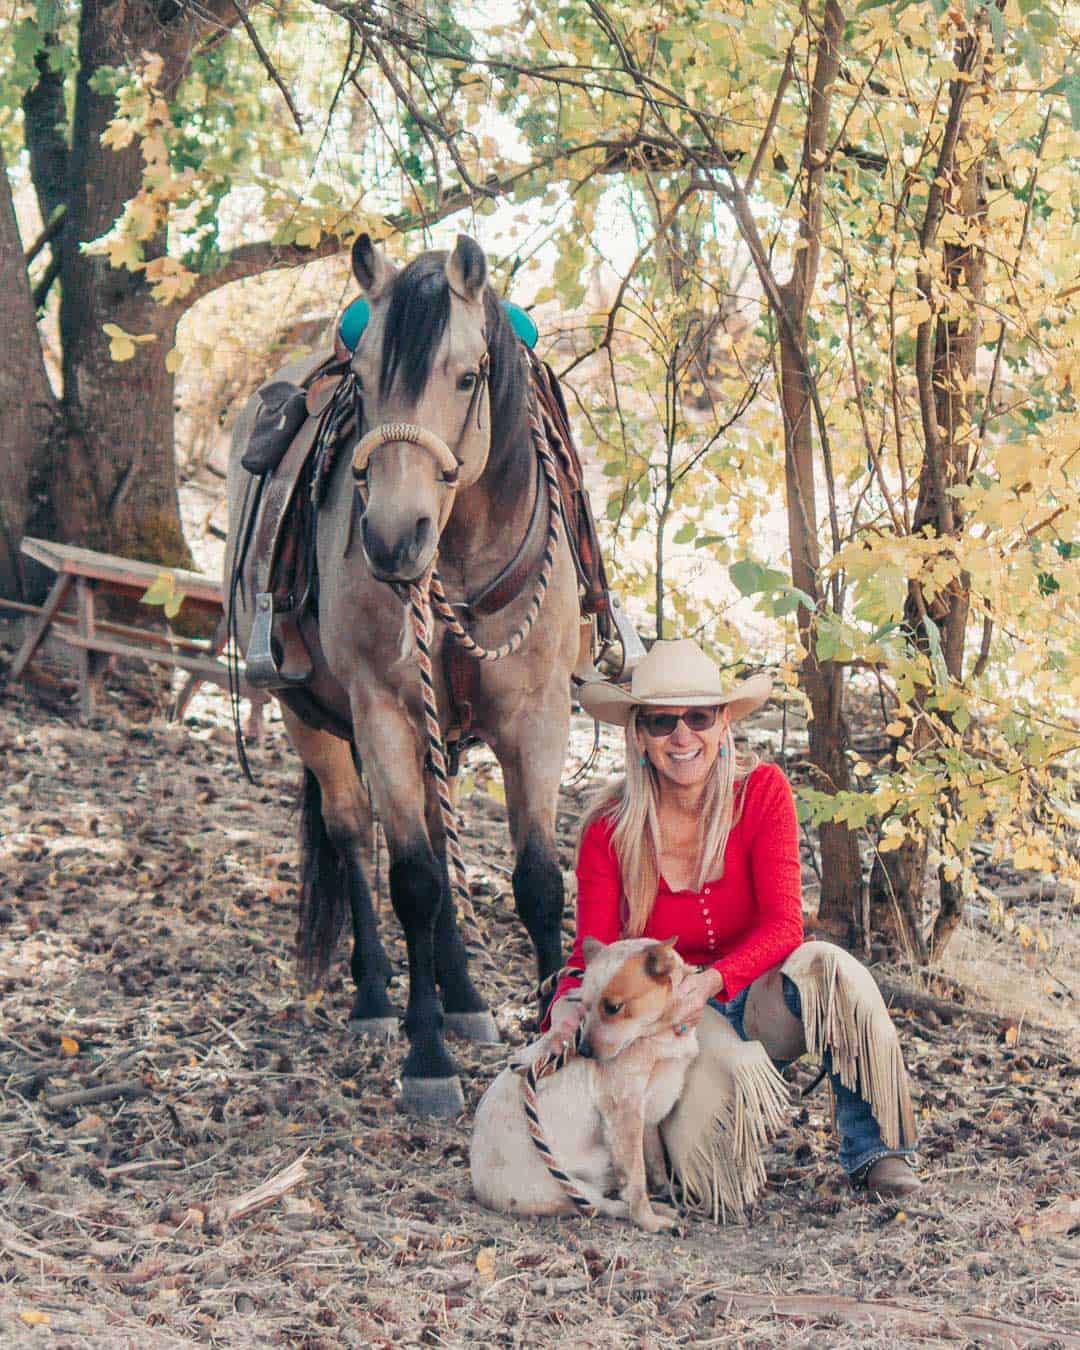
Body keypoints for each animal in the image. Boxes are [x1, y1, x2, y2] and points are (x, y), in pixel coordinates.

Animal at [222, 234, 585, 1117]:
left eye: (467, 376)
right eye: (365, 380)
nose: (391, 537)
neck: (457, 559)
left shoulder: (537, 715)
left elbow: (537, 880)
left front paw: (550, 1037)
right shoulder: (383, 709)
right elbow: (414, 878)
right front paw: (426, 1057)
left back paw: (465, 996)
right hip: (307, 716)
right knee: (355, 832)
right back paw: (378, 997)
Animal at [472, 939, 702, 1236]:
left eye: (613, 1007)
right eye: (584, 1006)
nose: (583, 1051)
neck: (657, 1037)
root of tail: (480, 1190)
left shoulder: (649, 1112)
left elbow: (655, 1163)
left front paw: (664, 1195)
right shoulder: (624, 1112)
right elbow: (636, 1179)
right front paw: (648, 1220)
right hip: (573, 1187)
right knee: (608, 1206)